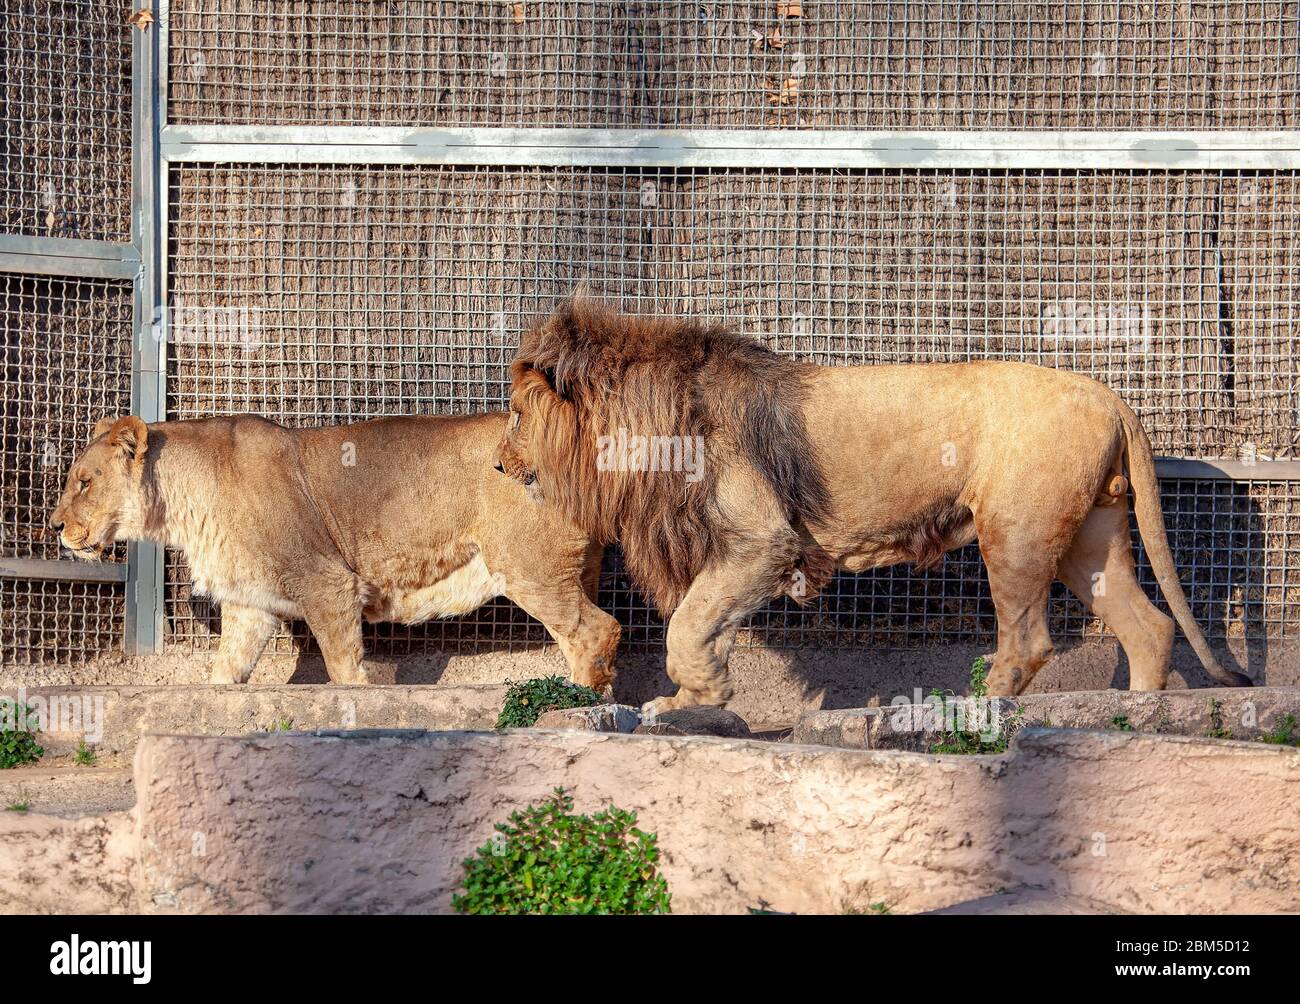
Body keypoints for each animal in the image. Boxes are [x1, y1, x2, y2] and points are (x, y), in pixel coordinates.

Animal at [50, 412, 619, 687]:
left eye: (84, 481)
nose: (54, 526)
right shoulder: (250, 606)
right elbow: (224, 672)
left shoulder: (329, 583)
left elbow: (343, 667)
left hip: (529, 566)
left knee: (599, 629)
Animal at [496, 299, 1251, 712]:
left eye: (516, 413)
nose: (499, 465)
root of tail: (1112, 397)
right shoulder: (725, 554)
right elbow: (702, 625)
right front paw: (687, 702)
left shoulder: (763, 542)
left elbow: (686, 628)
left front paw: (697, 696)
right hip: (1088, 537)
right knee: (1149, 627)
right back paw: (1132, 714)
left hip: (1018, 535)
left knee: (1028, 641)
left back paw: (974, 714)